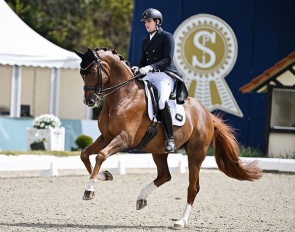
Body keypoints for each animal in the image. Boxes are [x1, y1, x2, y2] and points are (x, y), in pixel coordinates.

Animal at [74, 47, 264, 230]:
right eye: (81, 73)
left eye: (92, 72)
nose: (90, 102)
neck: (124, 96)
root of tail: (207, 114)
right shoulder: (106, 137)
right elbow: (85, 154)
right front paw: (104, 176)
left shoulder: (124, 139)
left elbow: (100, 156)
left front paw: (89, 190)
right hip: (159, 151)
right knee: (165, 176)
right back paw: (141, 198)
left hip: (196, 154)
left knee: (192, 187)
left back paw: (181, 221)